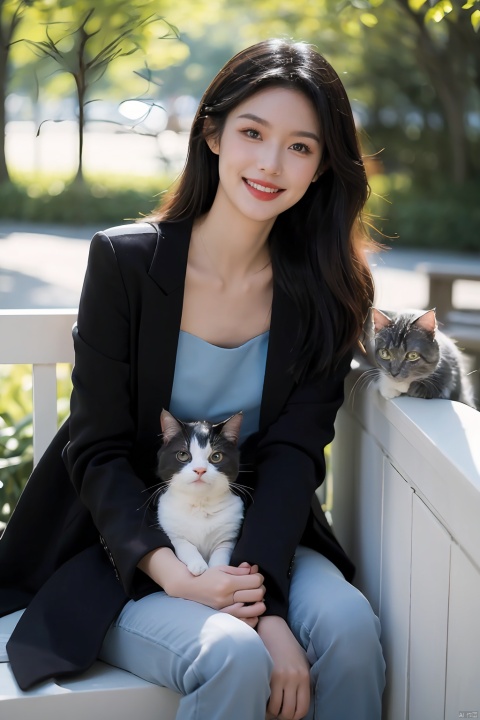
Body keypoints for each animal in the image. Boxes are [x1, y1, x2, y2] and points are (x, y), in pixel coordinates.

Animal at [155, 410, 244, 572]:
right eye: (183, 455)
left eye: (216, 456)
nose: (200, 469)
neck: (200, 504)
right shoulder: (173, 530)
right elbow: (185, 546)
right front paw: (198, 565)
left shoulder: (228, 537)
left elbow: (221, 554)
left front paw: (216, 570)